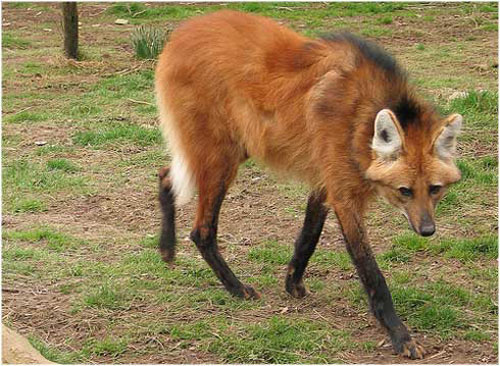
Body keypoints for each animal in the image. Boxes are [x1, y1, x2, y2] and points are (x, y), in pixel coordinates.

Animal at [154, 10, 462, 358]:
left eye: (435, 189)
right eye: (405, 191)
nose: (427, 230)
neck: (361, 119)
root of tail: (181, 32)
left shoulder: (326, 179)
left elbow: (308, 237)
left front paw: (293, 284)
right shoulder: (343, 195)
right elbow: (371, 271)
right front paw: (401, 336)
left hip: (235, 147)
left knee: (166, 176)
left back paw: (167, 248)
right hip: (222, 158)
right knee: (202, 230)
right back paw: (237, 288)